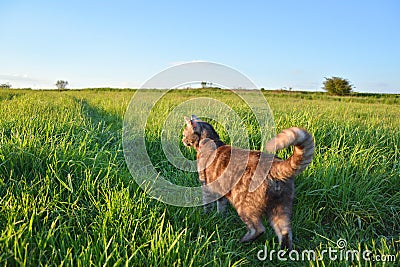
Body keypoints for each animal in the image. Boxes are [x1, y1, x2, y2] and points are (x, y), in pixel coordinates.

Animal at [182, 115, 316, 251]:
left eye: (184, 134)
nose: (182, 140)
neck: (210, 140)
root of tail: (275, 165)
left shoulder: (206, 186)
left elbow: (207, 205)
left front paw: (207, 216)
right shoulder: (220, 190)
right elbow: (221, 205)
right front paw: (220, 217)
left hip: (243, 205)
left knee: (258, 229)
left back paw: (242, 241)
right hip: (281, 207)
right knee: (285, 232)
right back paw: (283, 252)